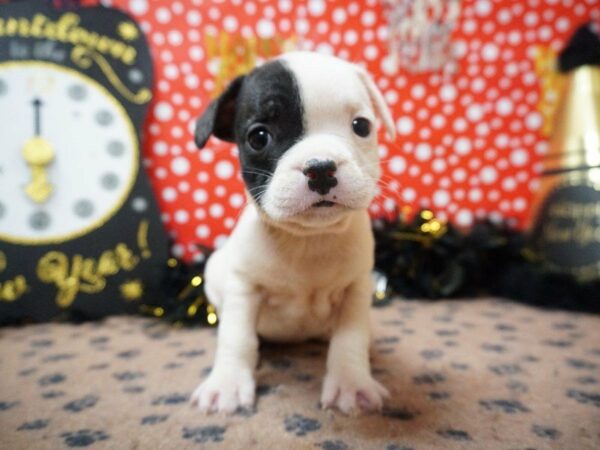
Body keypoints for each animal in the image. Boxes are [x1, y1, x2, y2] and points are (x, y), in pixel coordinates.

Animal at [192, 50, 396, 414]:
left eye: (361, 126)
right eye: (259, 137)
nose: (320, 166)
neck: (308, 239)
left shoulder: (356, 290)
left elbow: (351, 337)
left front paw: (352, 385)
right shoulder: (244, 288)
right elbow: (237, 337)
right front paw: (227, 384)